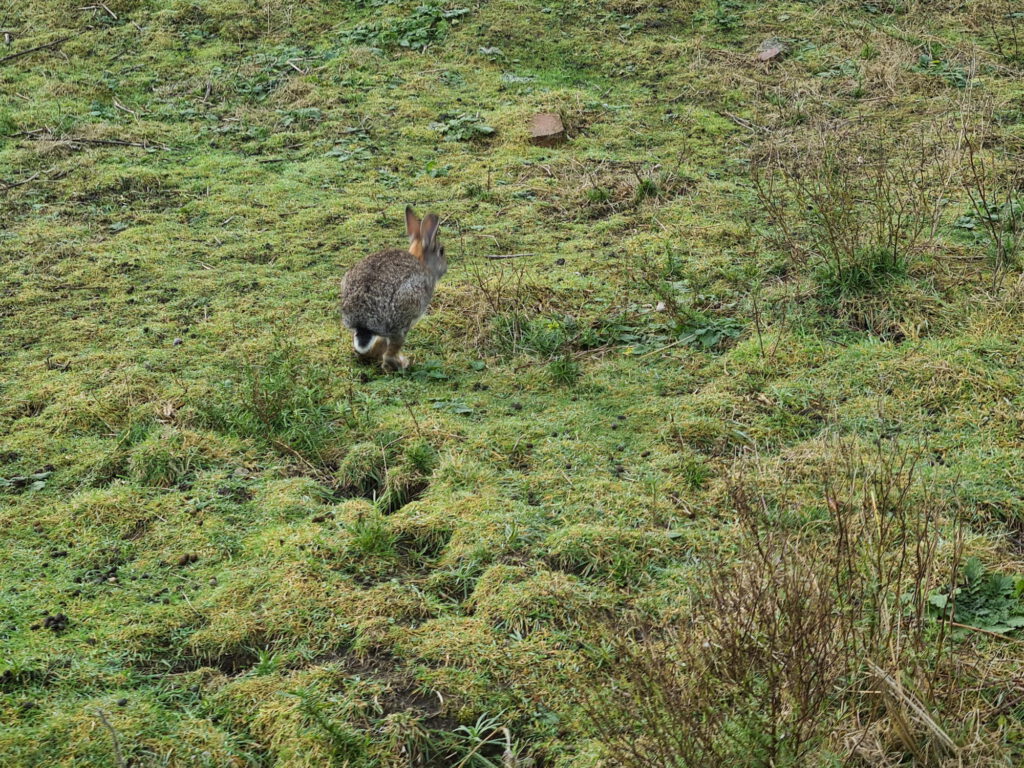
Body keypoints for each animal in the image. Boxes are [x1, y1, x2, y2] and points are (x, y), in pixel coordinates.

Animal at [340, 206, 447, 372]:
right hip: (402, 318)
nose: (446, 267)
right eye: (441, 251)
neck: (421, 261)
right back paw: (402, 364)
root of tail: (362, 321)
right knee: (391, 353)